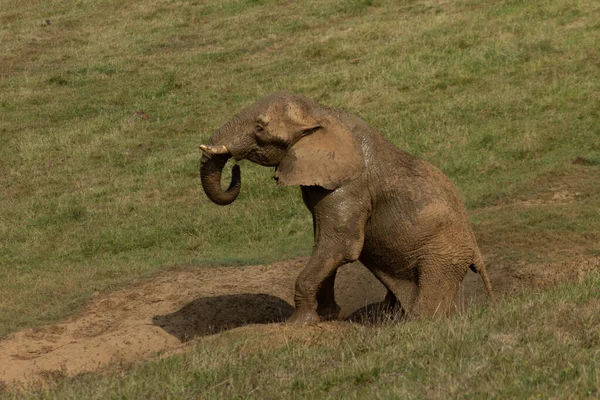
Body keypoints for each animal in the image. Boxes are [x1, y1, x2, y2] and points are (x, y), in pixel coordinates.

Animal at [199, 91, 494, 324]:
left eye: (259, 128)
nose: (235, 168)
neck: (322, 112)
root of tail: (476, 252)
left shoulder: (351, 188)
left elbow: (339, 245)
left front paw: (297, 323)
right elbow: (325, 245)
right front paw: (328, 317)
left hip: (443, 255)